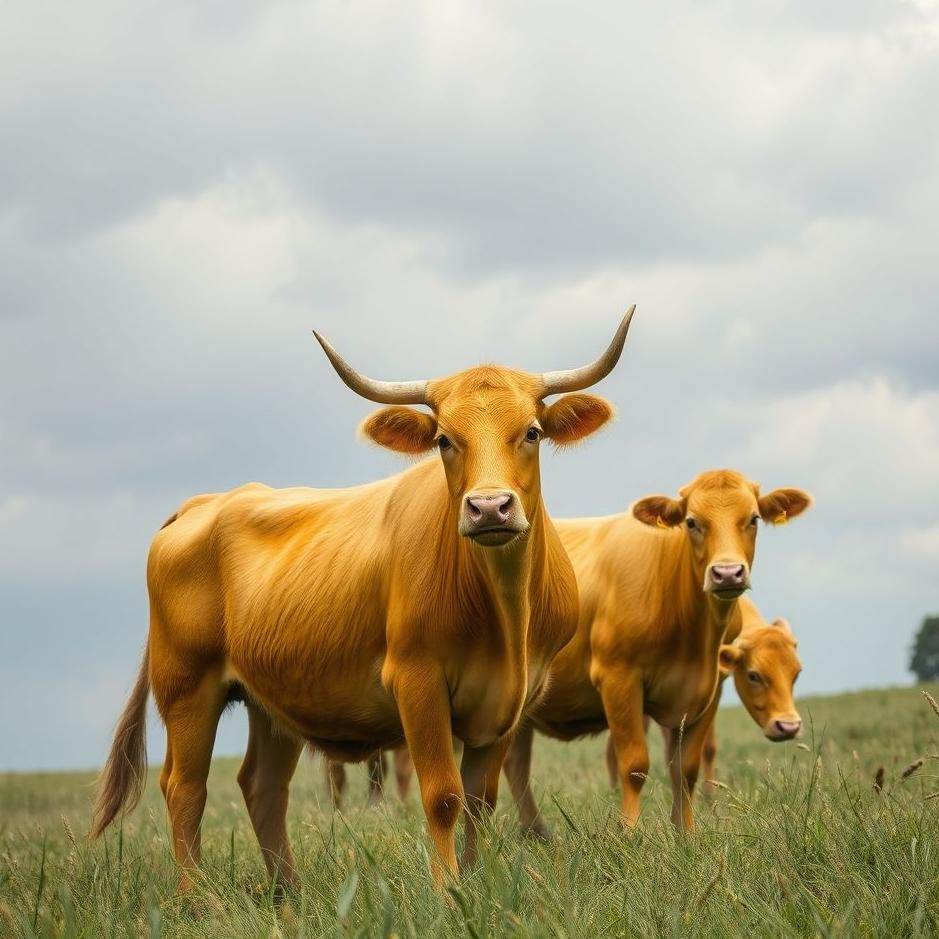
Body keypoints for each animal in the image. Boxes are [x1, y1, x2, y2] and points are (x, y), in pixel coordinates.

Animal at [90, 309, 636, 890]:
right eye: (444, 440)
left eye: (531, 432)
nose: (489, 508)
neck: (505, 613)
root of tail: (206, 501)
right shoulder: (417, 681)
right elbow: (444, 796)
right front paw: (449, 892)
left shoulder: (509, 702)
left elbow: (480, 802)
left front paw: (476, 883)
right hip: (186, 687)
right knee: (184, 789)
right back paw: (200, 900)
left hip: (270, 698)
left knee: (262, 787)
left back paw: (288, 894)